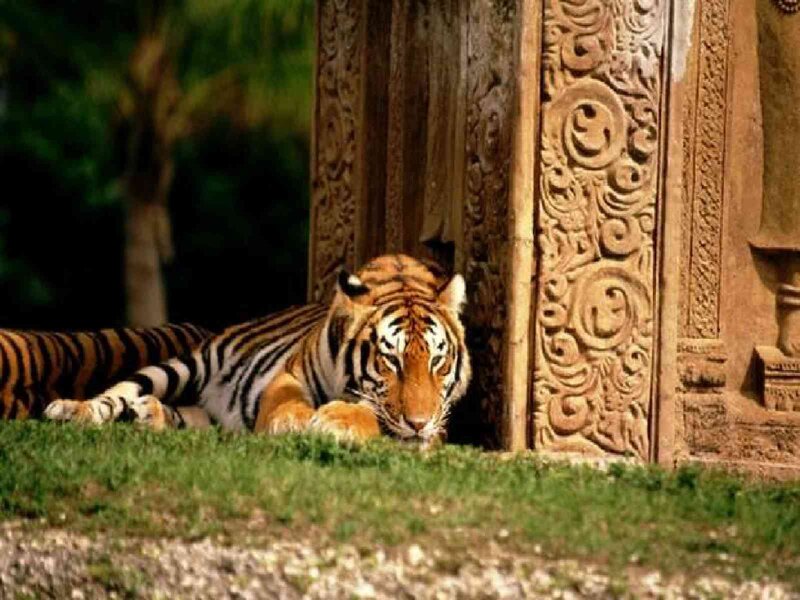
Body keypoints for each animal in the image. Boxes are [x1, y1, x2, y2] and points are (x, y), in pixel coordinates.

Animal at [44, 254, 472, 443]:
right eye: (391, 361)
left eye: (437, 361)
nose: (419, 423)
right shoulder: (290, 373)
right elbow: (284, 402)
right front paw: (297, 421)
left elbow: (377, 418)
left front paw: (337, 420)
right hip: (184, 365)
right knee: (117, 393)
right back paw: (72, 410)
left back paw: (150, 415)